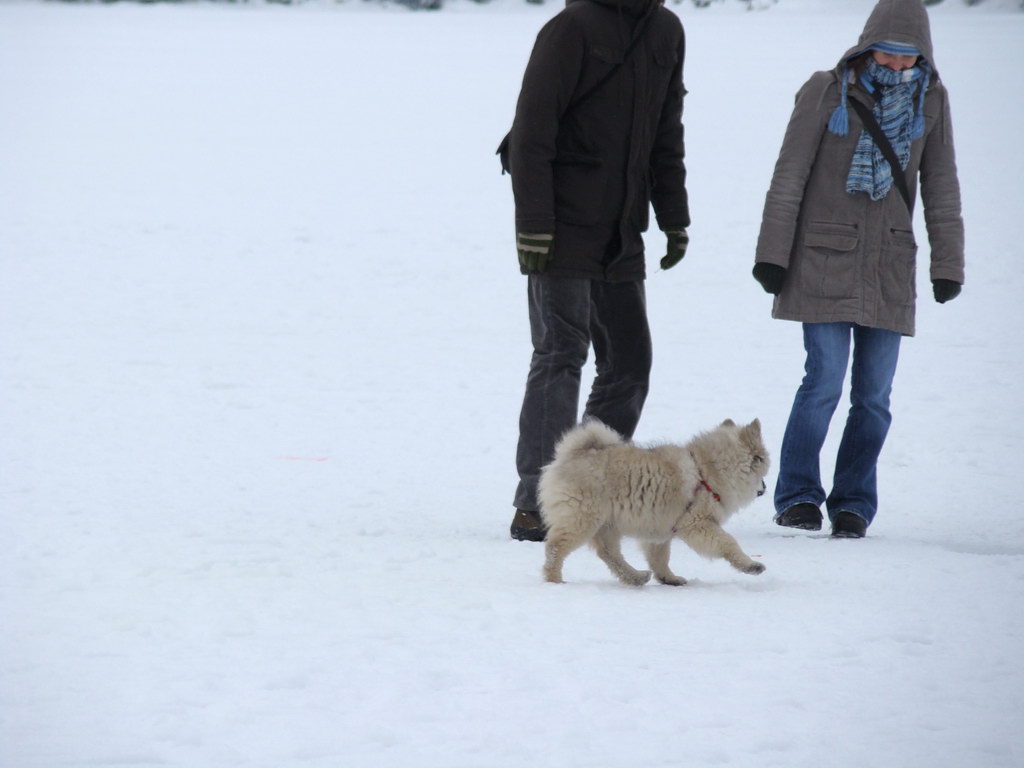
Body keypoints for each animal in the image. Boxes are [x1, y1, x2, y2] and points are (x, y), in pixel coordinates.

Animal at [544, 417, 770, 585]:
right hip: (583, 519)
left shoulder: (660, 527)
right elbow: (727, 542)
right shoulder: (696, 524)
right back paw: (554, 580)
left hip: (607, 524)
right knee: (555, 548)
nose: (765, 488)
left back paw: (635, 577)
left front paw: (669, 578)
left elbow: (659, 558)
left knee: (609, 554)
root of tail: (573, 454)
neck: (707, 471)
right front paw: (750, 565)